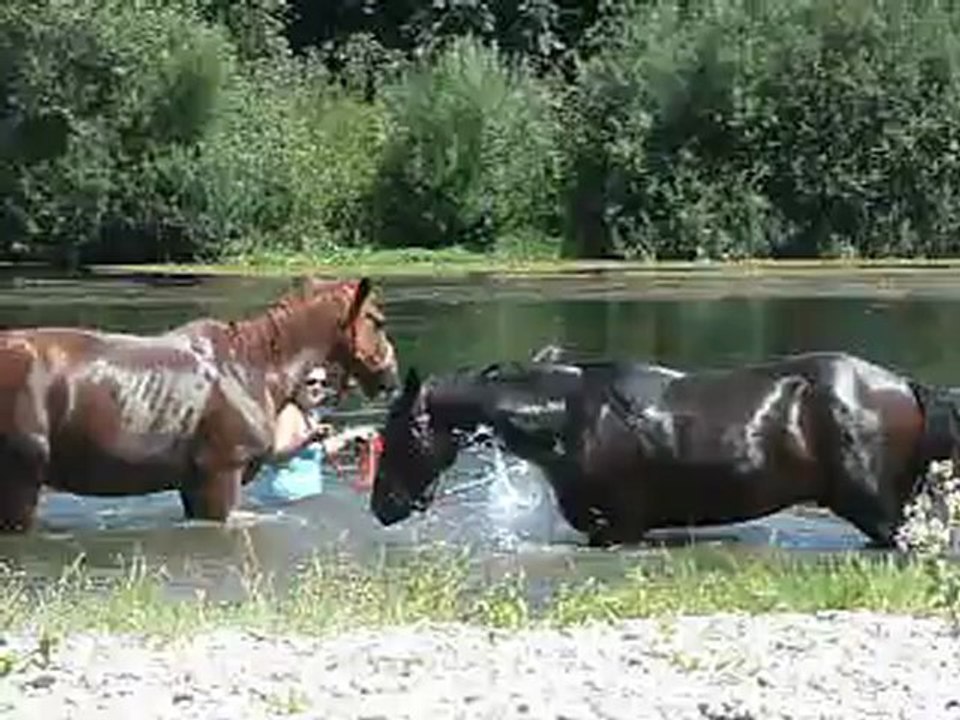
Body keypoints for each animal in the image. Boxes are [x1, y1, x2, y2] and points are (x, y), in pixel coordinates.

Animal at [0, 276, 399, 532]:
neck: (251, 368)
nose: (391, 377)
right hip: (20, 485)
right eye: (377, 321)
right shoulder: (220, 478)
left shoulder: (193, 487)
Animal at [370, 351, 960, 548]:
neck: (571, 418)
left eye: (398, 433)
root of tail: (905, 387)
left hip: (878, 510)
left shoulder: (621, 528)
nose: (382, 506)